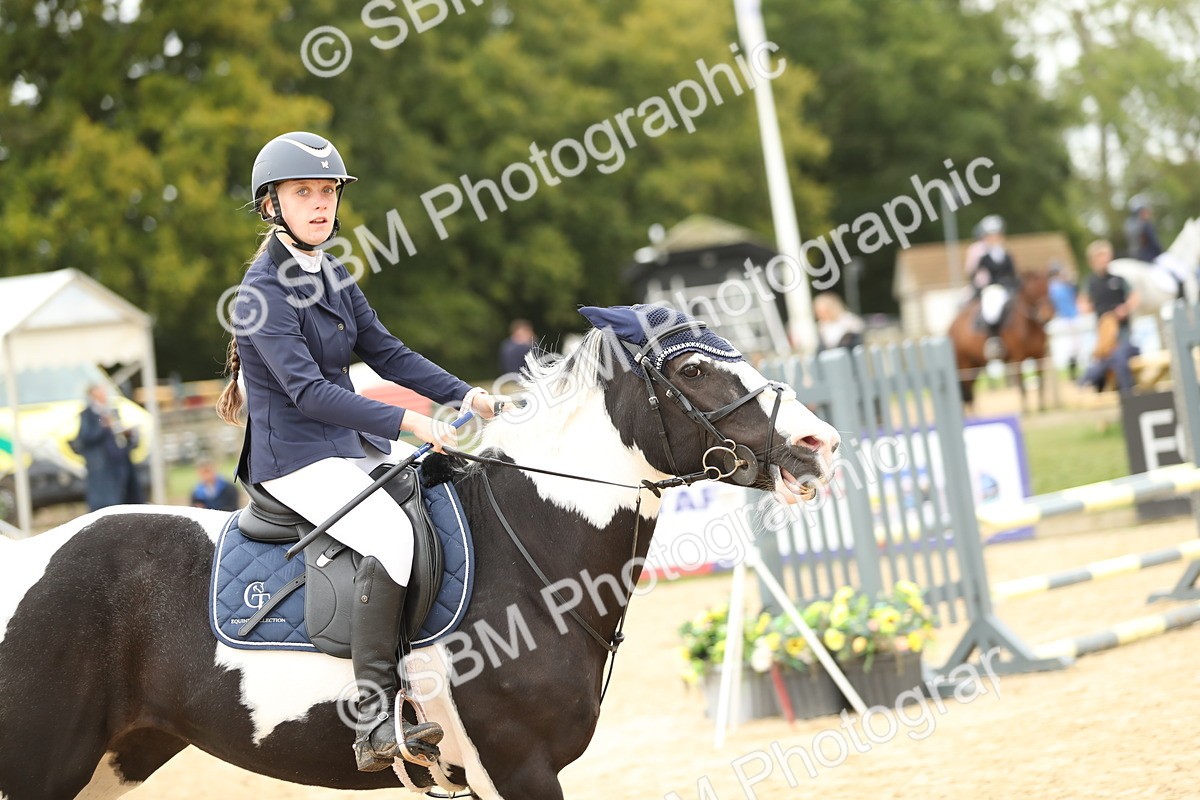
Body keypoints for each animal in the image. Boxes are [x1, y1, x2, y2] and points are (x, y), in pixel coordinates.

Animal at [948, 270, 1055, 413]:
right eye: (1033, 291)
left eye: (1048, 289)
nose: (1047, 315)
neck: (1029, 325)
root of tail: (952, 325)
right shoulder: (1017, 358)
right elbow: (1021, 384)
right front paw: (1025, 409)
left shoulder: (1039, 356)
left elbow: (1041, 381)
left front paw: (1041, 407)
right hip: (964, 364)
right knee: (966, 388)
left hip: (975, 364)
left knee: (969, 390)